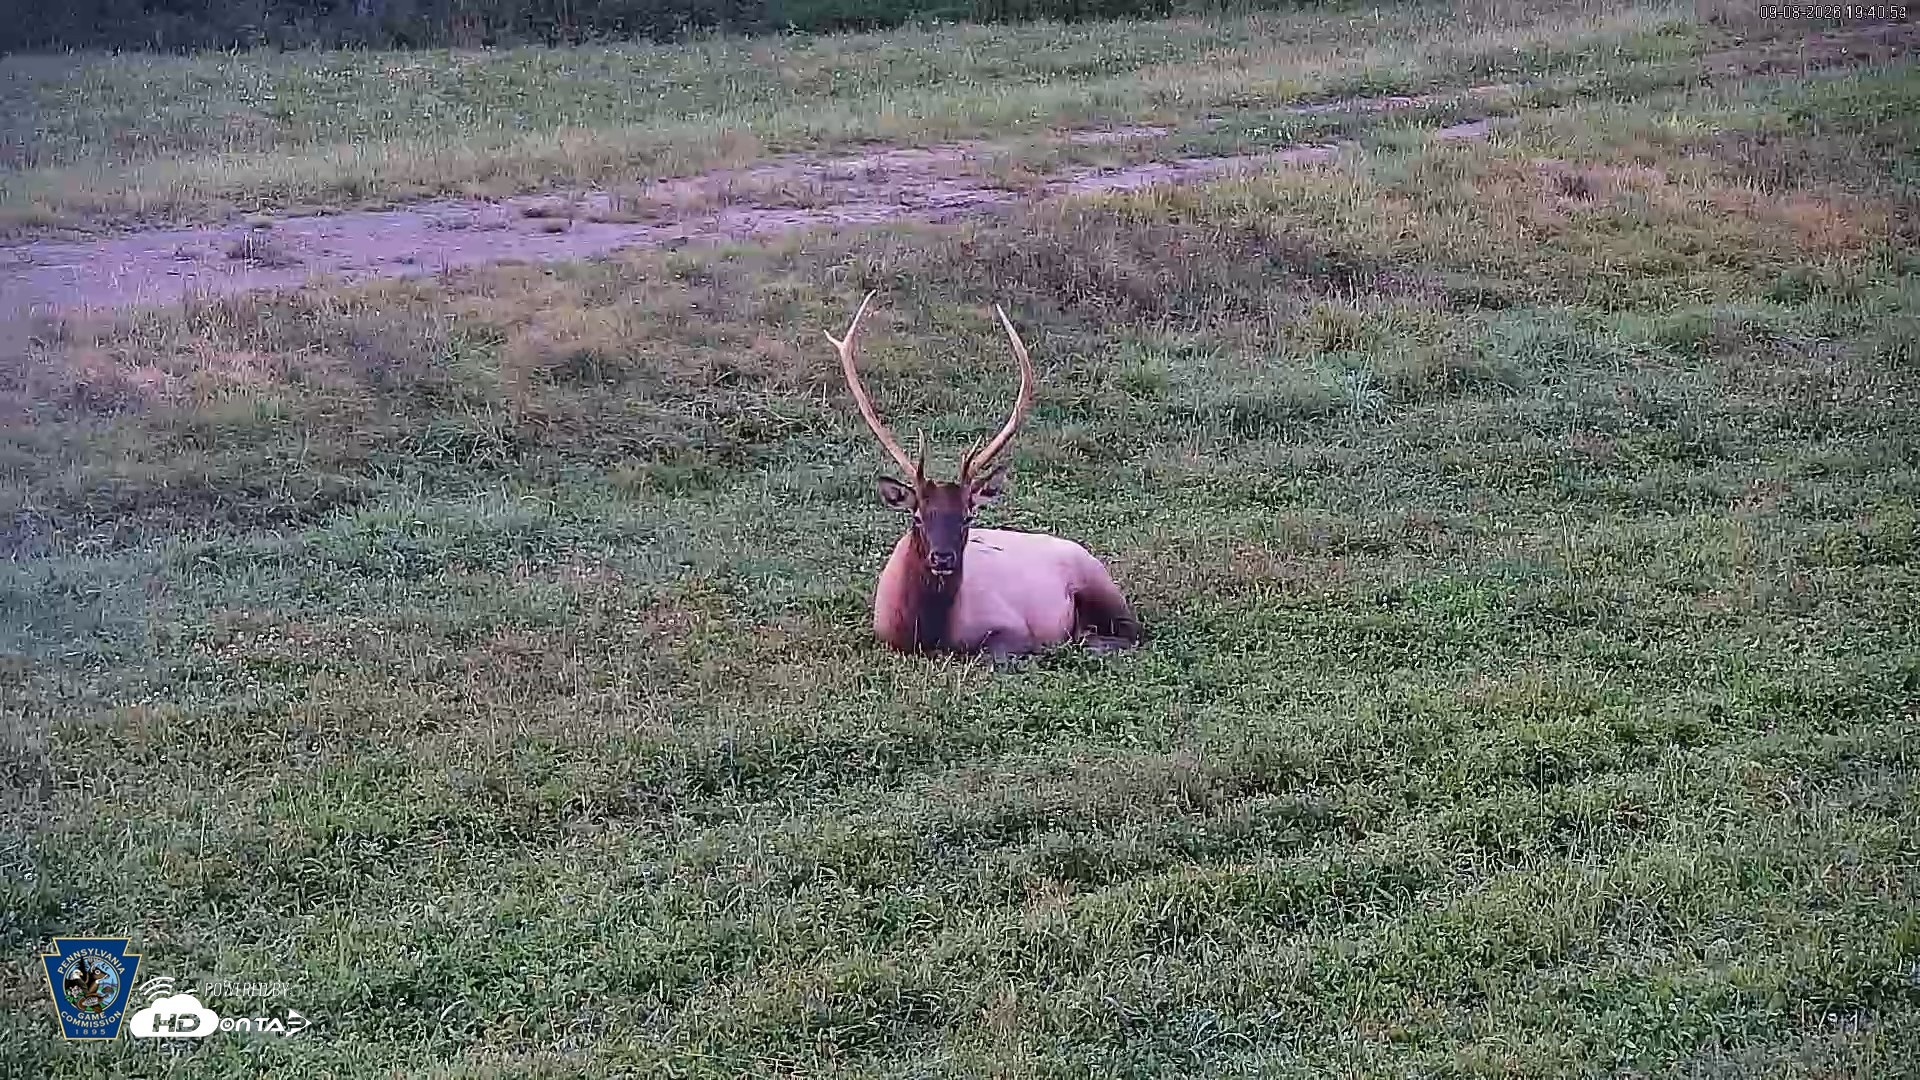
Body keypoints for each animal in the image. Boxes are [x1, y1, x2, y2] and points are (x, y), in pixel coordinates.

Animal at [823, 290, 1144, 661]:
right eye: (917, 516)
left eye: (967, 516)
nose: (943, 557)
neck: (928, 634)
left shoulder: (1011, 625)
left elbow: (995, 652)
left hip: (1100, 585)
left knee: (1131, 631)